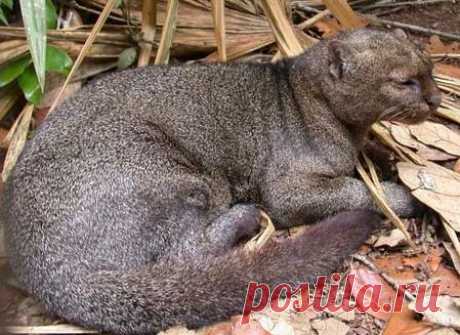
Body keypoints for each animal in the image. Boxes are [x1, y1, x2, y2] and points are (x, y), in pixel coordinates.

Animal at [2, 29, 442, 335]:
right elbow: (355, 190)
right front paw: (403, 195)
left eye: (431, 71)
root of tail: (46, 270)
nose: (437, 100)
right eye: (404, 81)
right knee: (181, 256)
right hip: (176, 173)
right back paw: (243, 217)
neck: (308, 100)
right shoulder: (287, 189)